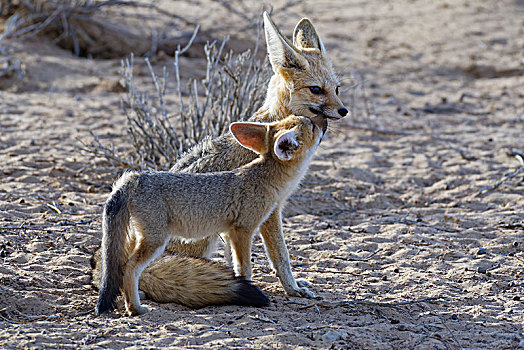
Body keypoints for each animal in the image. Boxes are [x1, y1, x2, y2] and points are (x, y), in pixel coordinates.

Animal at [92, 11, 346, 306]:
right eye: (316, 89)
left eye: (337, 88)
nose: (344, 110)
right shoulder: (268, 214)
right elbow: (280, 255)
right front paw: (291, 288)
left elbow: (246, 257)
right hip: (196, 238)